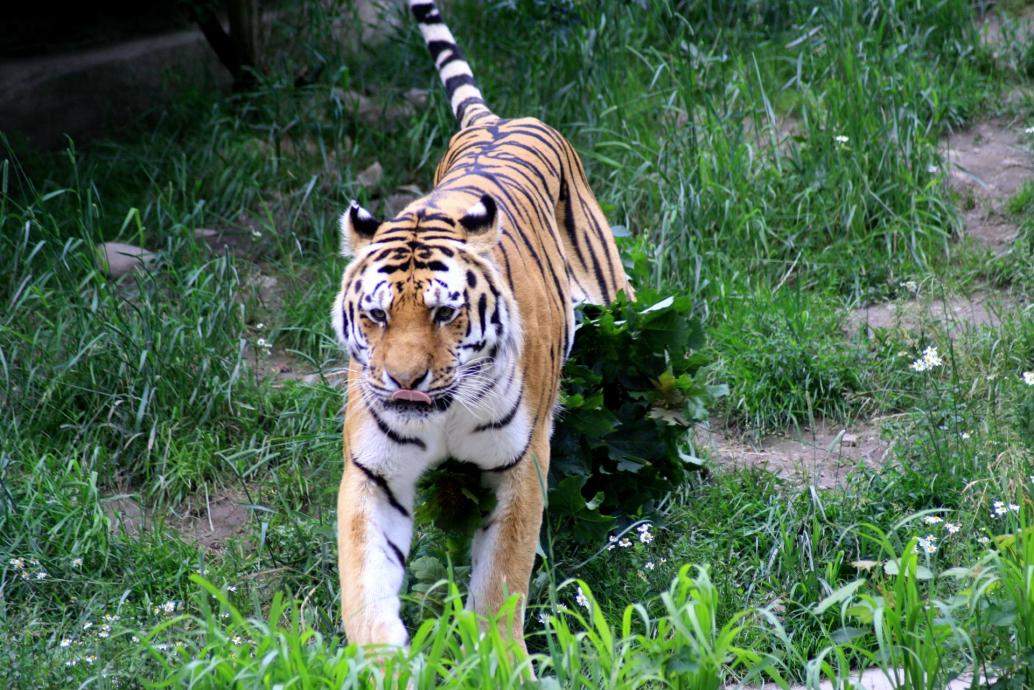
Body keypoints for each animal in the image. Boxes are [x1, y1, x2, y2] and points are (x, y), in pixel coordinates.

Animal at [331, 0, 634, 649]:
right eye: (376, 315)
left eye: (445, 313)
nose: (405, 382)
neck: (442, 413)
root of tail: (495, 120)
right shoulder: (373, 473)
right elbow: (364, 579)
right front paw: (382, 659)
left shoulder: (521, 464)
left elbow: (501, 578)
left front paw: (498, 656)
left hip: (616, 297)